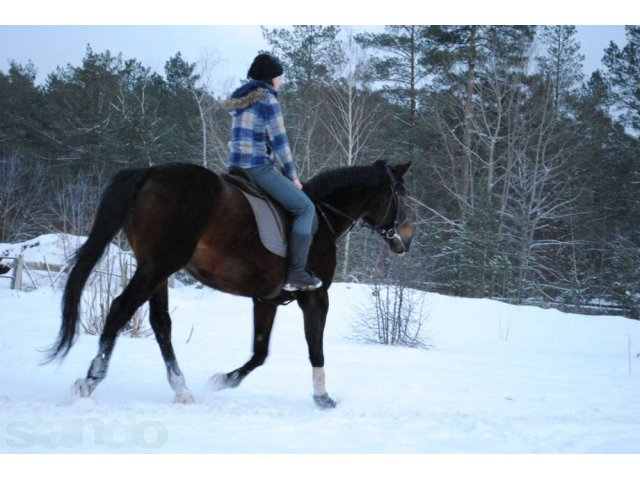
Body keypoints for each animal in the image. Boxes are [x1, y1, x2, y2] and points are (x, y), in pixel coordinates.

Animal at [45, 159, 416, 406]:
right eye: (402, 194)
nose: (406, 239)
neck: (323, 217)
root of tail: (150, 172)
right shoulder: (316, 297)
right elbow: (315, 348)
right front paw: (323, 398)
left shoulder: (266, 299)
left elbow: (260, 351)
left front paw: (222, 380)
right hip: (158, 266)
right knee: (122, 308)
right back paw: (91, 380)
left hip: (157, 270)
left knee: (161, 323)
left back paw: (182, 389)